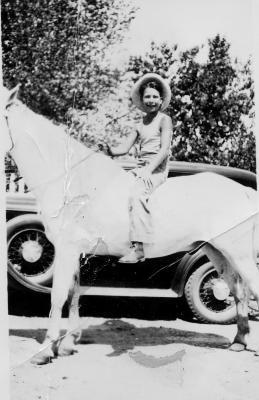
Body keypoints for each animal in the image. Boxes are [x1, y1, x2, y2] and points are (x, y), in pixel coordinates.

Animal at [2, 87, 259, 366]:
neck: (73, 182)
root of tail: (245, 191)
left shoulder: (66, 248)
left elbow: (58, 295)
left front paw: (46, 351)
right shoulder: (73, 250)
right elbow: (73, 292)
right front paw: (68, 344)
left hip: (238, 254)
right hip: (218, 252)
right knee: (238, 290)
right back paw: (239, 342)